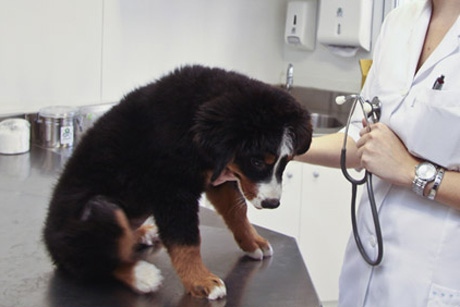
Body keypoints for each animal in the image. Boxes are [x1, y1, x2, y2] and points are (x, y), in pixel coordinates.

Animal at [43, 65, 312, 300]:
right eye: (256, 161)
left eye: (286, 161)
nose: (272, 203)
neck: (193, 122)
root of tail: (49, 240)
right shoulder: (171, 188)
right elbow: (186, 239)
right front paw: (201, 281)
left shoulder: (218, 175)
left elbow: (237, 210)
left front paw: (252, 241)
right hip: (99, 210)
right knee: (93, 264)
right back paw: (141, 274)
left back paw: (142, 233)